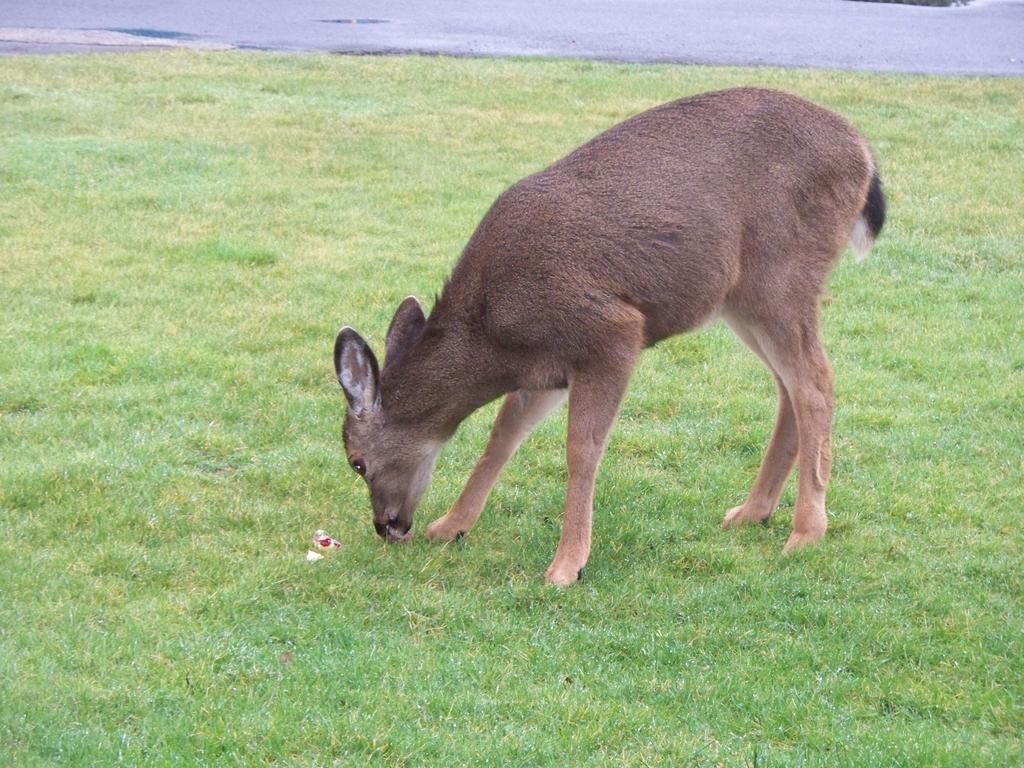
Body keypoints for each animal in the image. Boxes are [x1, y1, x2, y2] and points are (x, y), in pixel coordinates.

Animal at [331, 87, 884, 585]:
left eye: (357, 462)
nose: (387, 525)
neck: (492, 332)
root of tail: (864, 154)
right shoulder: (544, 370)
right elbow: (502, 437)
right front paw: (451, 526)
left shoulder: (610, 330)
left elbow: (581, 450)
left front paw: (567, 565)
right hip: (741, 300)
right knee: (789, 385)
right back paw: (752, 511)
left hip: (782, 274)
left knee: (815, 383)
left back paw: (806, 530)